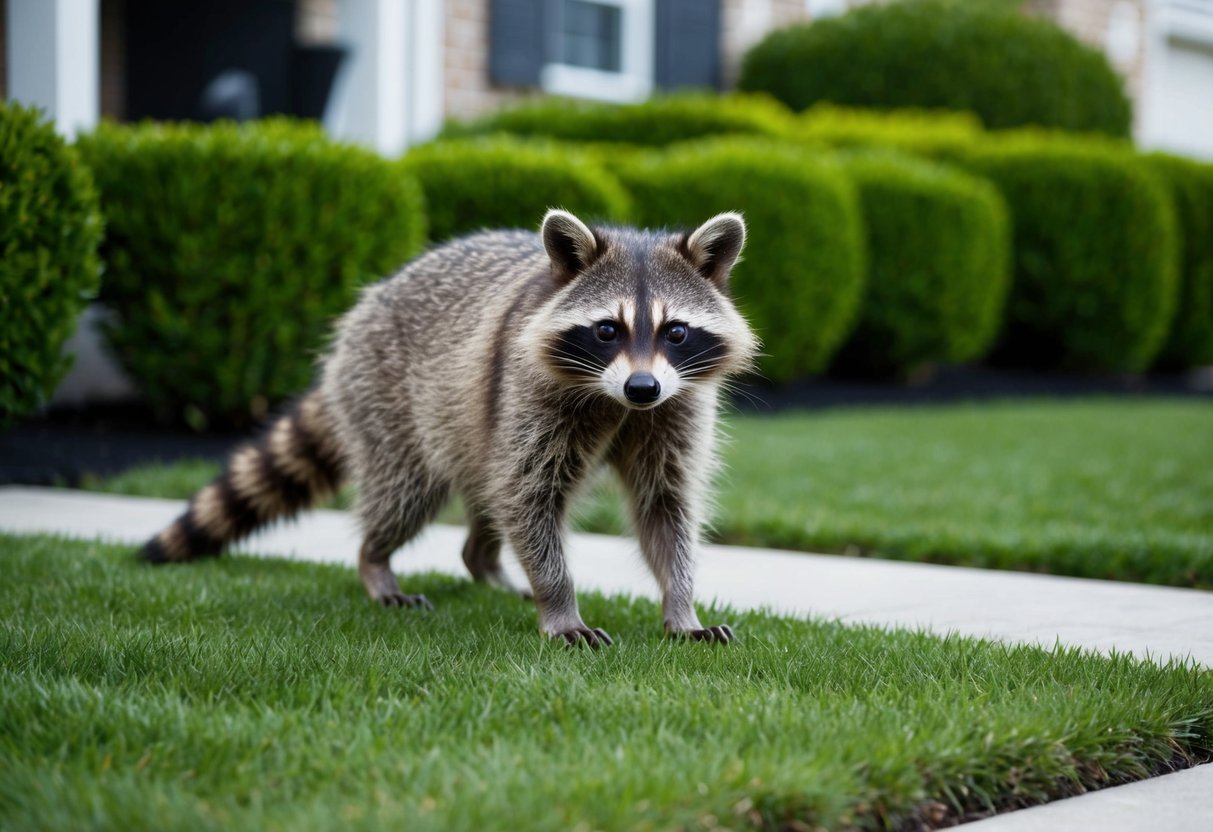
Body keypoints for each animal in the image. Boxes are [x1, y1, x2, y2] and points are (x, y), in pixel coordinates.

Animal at [142, 209, 758, 646]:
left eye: (676, 332)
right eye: (607, 330)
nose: (642, 387)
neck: (616, 403)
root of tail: (362, 313)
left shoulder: (677, 404)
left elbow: (665, 505)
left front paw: (681, 605)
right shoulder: (529, 390)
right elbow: (529, 495)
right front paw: (560, 604)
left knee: (490, 495)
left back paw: (483, 562)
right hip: (388, 398)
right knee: (408, 495)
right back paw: (375, 561)